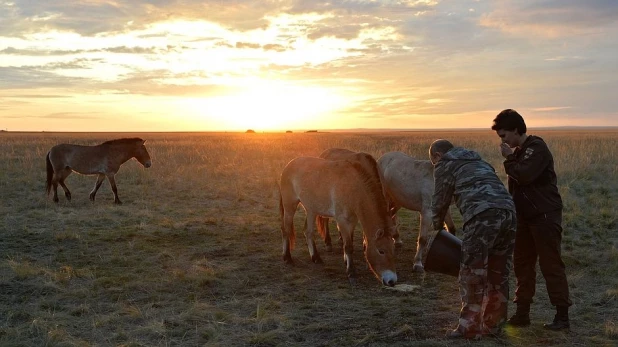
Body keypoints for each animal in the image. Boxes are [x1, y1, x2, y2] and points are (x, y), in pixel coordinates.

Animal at [278, 155, 398, 288]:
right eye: (381, 251)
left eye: (393, 250)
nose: (392, 281)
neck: (353, 188)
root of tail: (288, 165)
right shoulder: (342, 220)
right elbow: (348, 246)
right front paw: (351, 273)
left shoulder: (352, 220)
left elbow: (348, 242)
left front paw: (346, 262)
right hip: (290, 205)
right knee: (286, 230)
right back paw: (287, 258)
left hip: (311, 209)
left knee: (308, 232)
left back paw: (316, 258)